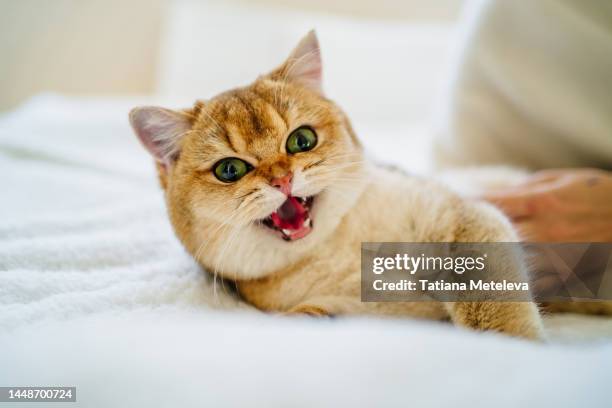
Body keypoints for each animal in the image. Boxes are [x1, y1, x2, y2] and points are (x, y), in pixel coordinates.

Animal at [128, 31, 544, 338]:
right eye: (229, 170)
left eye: (302, 140)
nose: (282, 179)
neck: (332, 249)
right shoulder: (349, 311)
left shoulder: (459, 215)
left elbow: (488, 297)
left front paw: (513, 346)